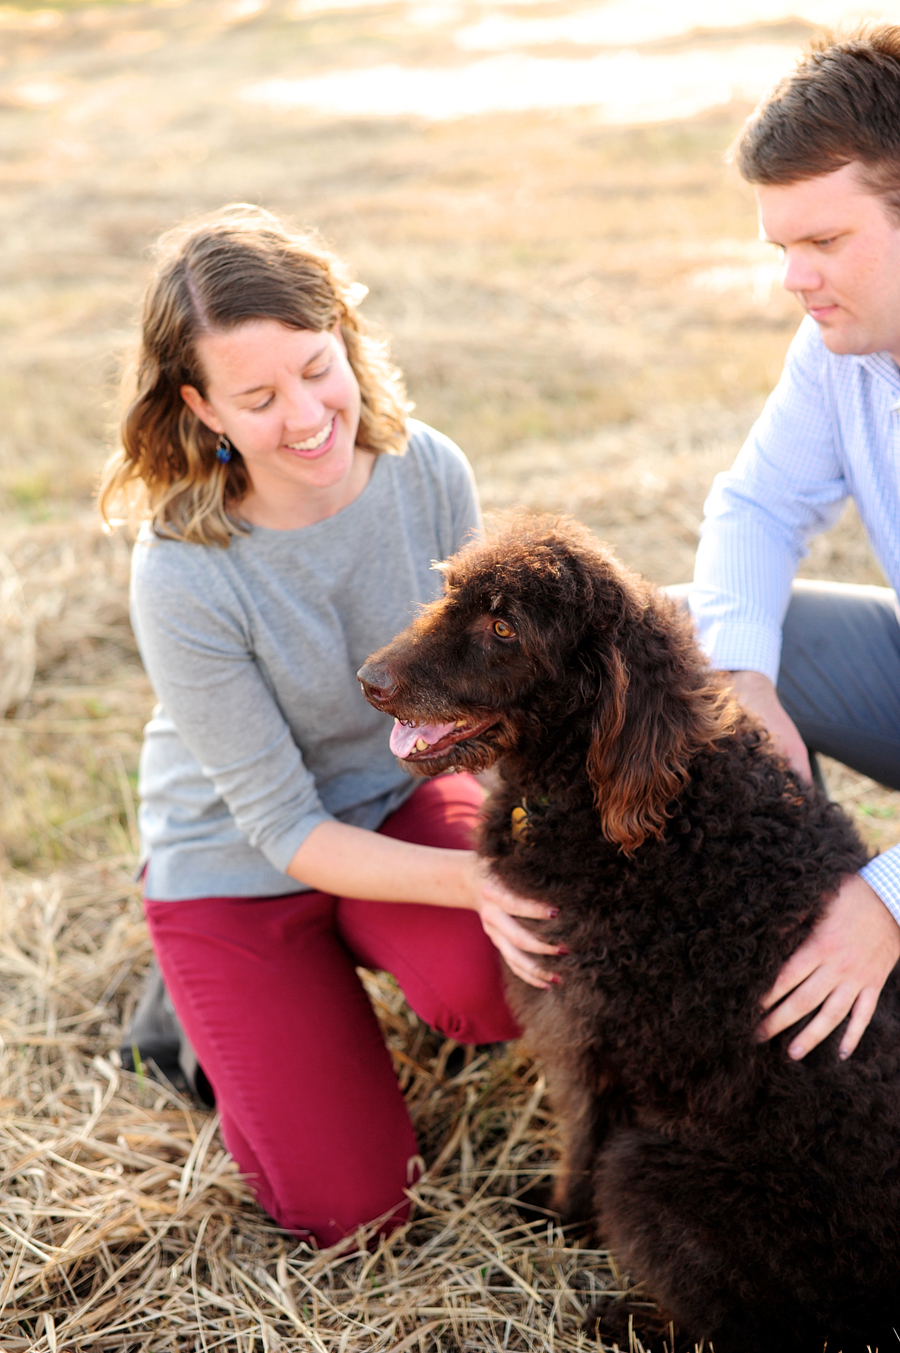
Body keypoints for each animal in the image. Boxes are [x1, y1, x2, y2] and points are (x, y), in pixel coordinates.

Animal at [357, 514, 898, 1353]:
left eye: (504, 628)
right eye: (453, 592)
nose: (369, 679)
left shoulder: (585, 1044)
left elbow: (578, 1155)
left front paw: (552, 1220)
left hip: (647, 1170)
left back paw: (625, 1318)